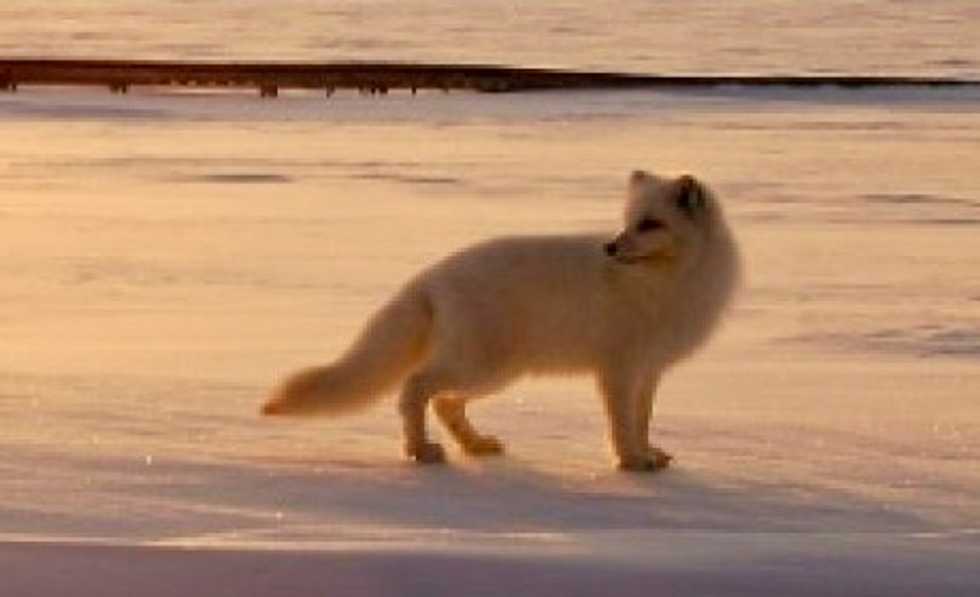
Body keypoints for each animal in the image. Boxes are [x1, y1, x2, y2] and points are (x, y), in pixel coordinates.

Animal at [262, 170, 741, 471]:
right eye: (627, 222)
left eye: (650, 224)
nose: (609, 247)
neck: (667, 279)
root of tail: (430, 276)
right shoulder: (618, 369)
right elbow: (622, 424)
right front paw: (631, 462)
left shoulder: (649, 369)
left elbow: (642, 419)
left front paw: (649, 454)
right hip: (481, 365)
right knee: (415, 388)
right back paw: (420, 450)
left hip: (496, 373)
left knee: (445, 402)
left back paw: (475, 445)